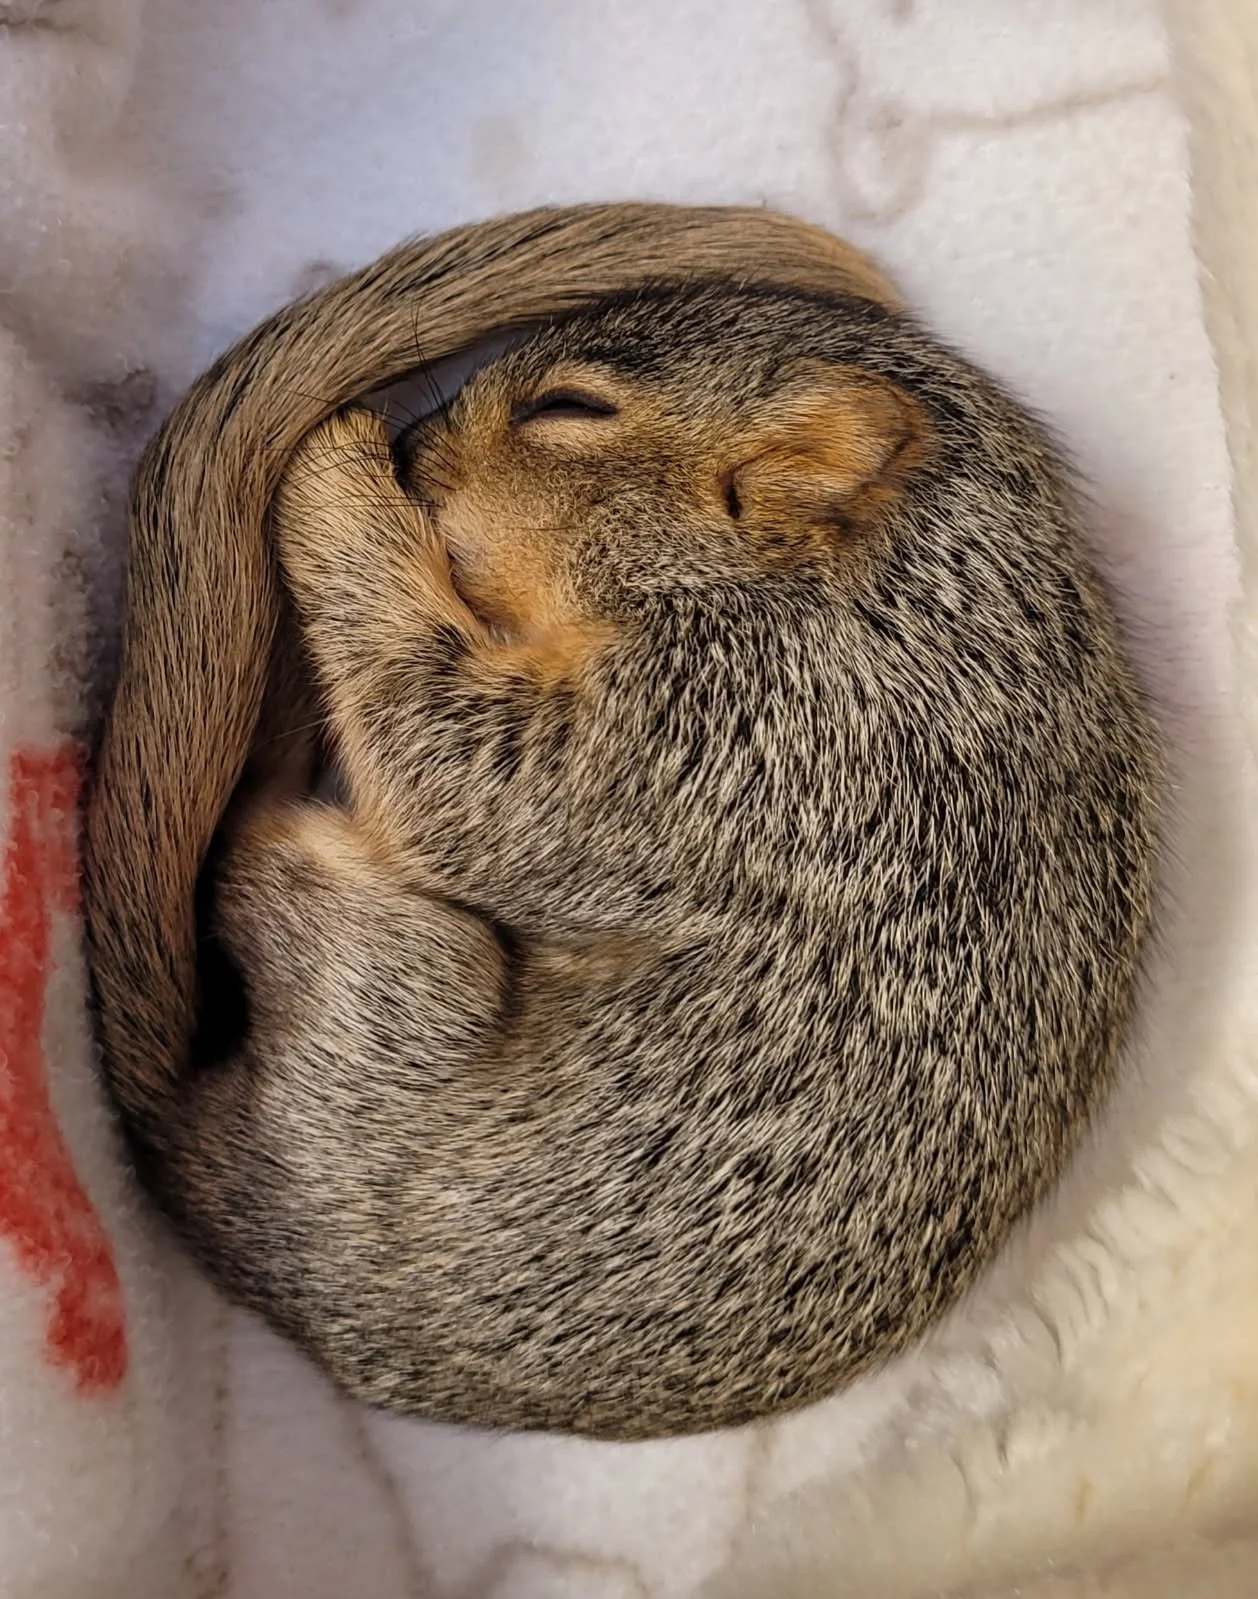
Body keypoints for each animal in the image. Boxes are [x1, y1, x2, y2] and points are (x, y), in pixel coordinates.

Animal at [83, 204, 1161, 1440]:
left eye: (569, 409)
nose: (410, 442)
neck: (901, 611)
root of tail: (235, 1210)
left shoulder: (723, 739)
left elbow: (452, 755)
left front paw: (333, 468)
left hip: (399, 982)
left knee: (253, 864)